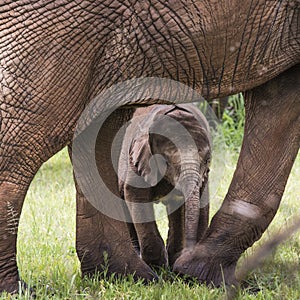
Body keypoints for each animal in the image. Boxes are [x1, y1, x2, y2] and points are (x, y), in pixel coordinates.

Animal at [118, 103, 212, 268]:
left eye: (207, 160)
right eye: (165, 162)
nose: (189, 253)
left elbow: (200, 201)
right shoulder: (135, 161)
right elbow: (136, 196)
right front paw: (156, 266)